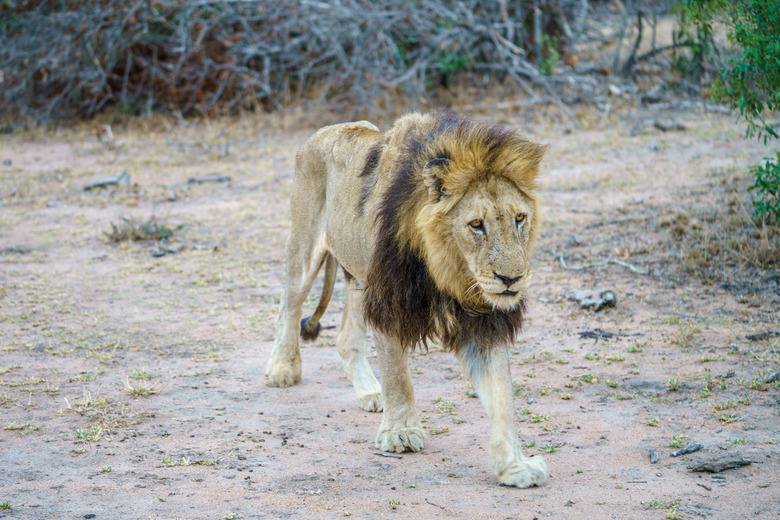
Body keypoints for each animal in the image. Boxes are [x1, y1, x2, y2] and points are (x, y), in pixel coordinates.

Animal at [268, 110, 548, 488]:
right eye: (476, 224)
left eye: (520, 218)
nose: (511, 279)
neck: (448, 268)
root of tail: (322, 132)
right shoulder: (388, 300)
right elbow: (398, 376)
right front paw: (399, 433)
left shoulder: (484, 320)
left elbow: (502, 393)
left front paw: (515, 466)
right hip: (305, 247)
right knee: (288, 304)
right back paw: (282, 369)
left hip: (359, 277)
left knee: (345, 337)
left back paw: (370, 393)